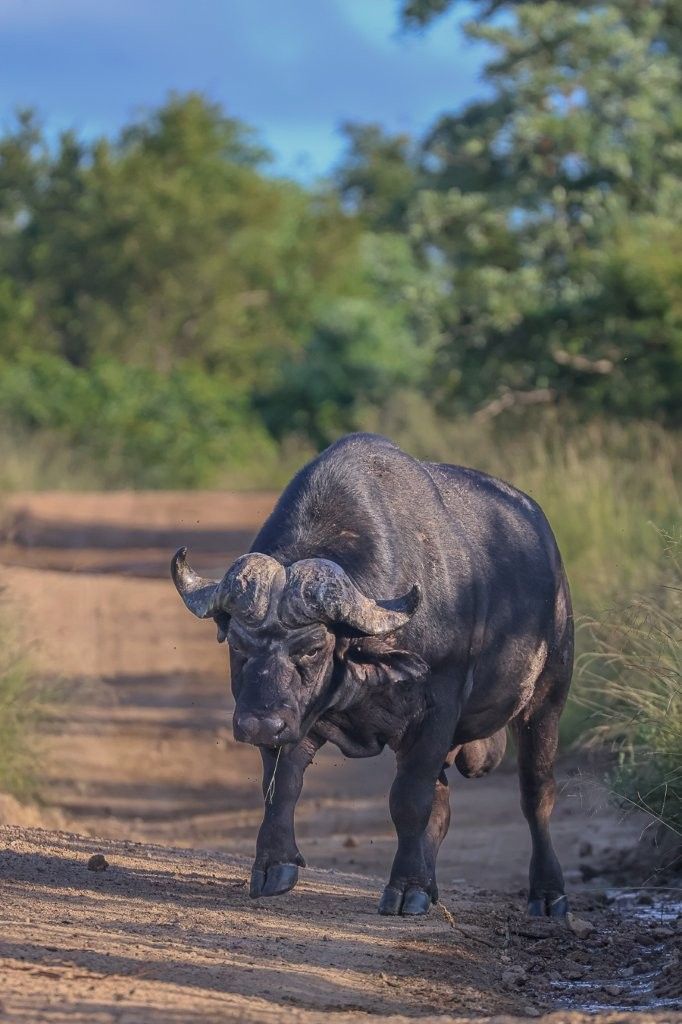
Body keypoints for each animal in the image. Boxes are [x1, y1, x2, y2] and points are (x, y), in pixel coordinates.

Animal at [171, 433, 573, 917]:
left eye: (313, 647)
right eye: (237, 645)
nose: (258, 724)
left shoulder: (436, 709)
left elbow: (409, 800)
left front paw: (404, 889)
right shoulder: (296, 720)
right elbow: (281, 785)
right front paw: (273, 866)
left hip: (547, 697)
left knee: (537, 793)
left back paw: (548, 895)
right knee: (443, 806)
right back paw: (431, 886)